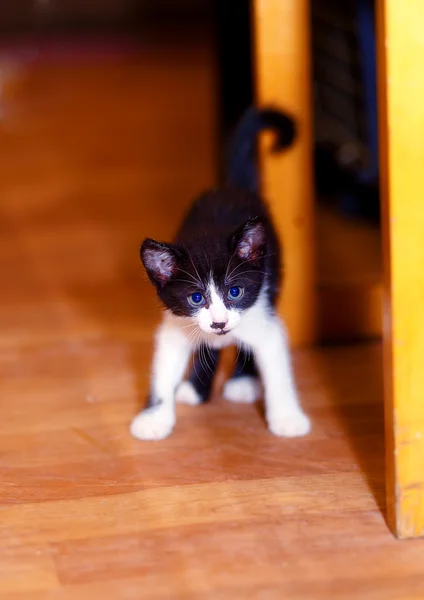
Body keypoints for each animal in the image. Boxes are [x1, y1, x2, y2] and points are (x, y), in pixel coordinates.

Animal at [132, 106, 312, 440]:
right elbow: (164, 368)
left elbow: (276, 367)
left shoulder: (263, 316)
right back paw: (196, 388)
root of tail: (232, 186)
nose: (219, 322)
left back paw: (242, 381)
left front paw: (287, 417)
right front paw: (154, 418)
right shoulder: (175, 324)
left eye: (234, 292)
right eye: (196, 298)